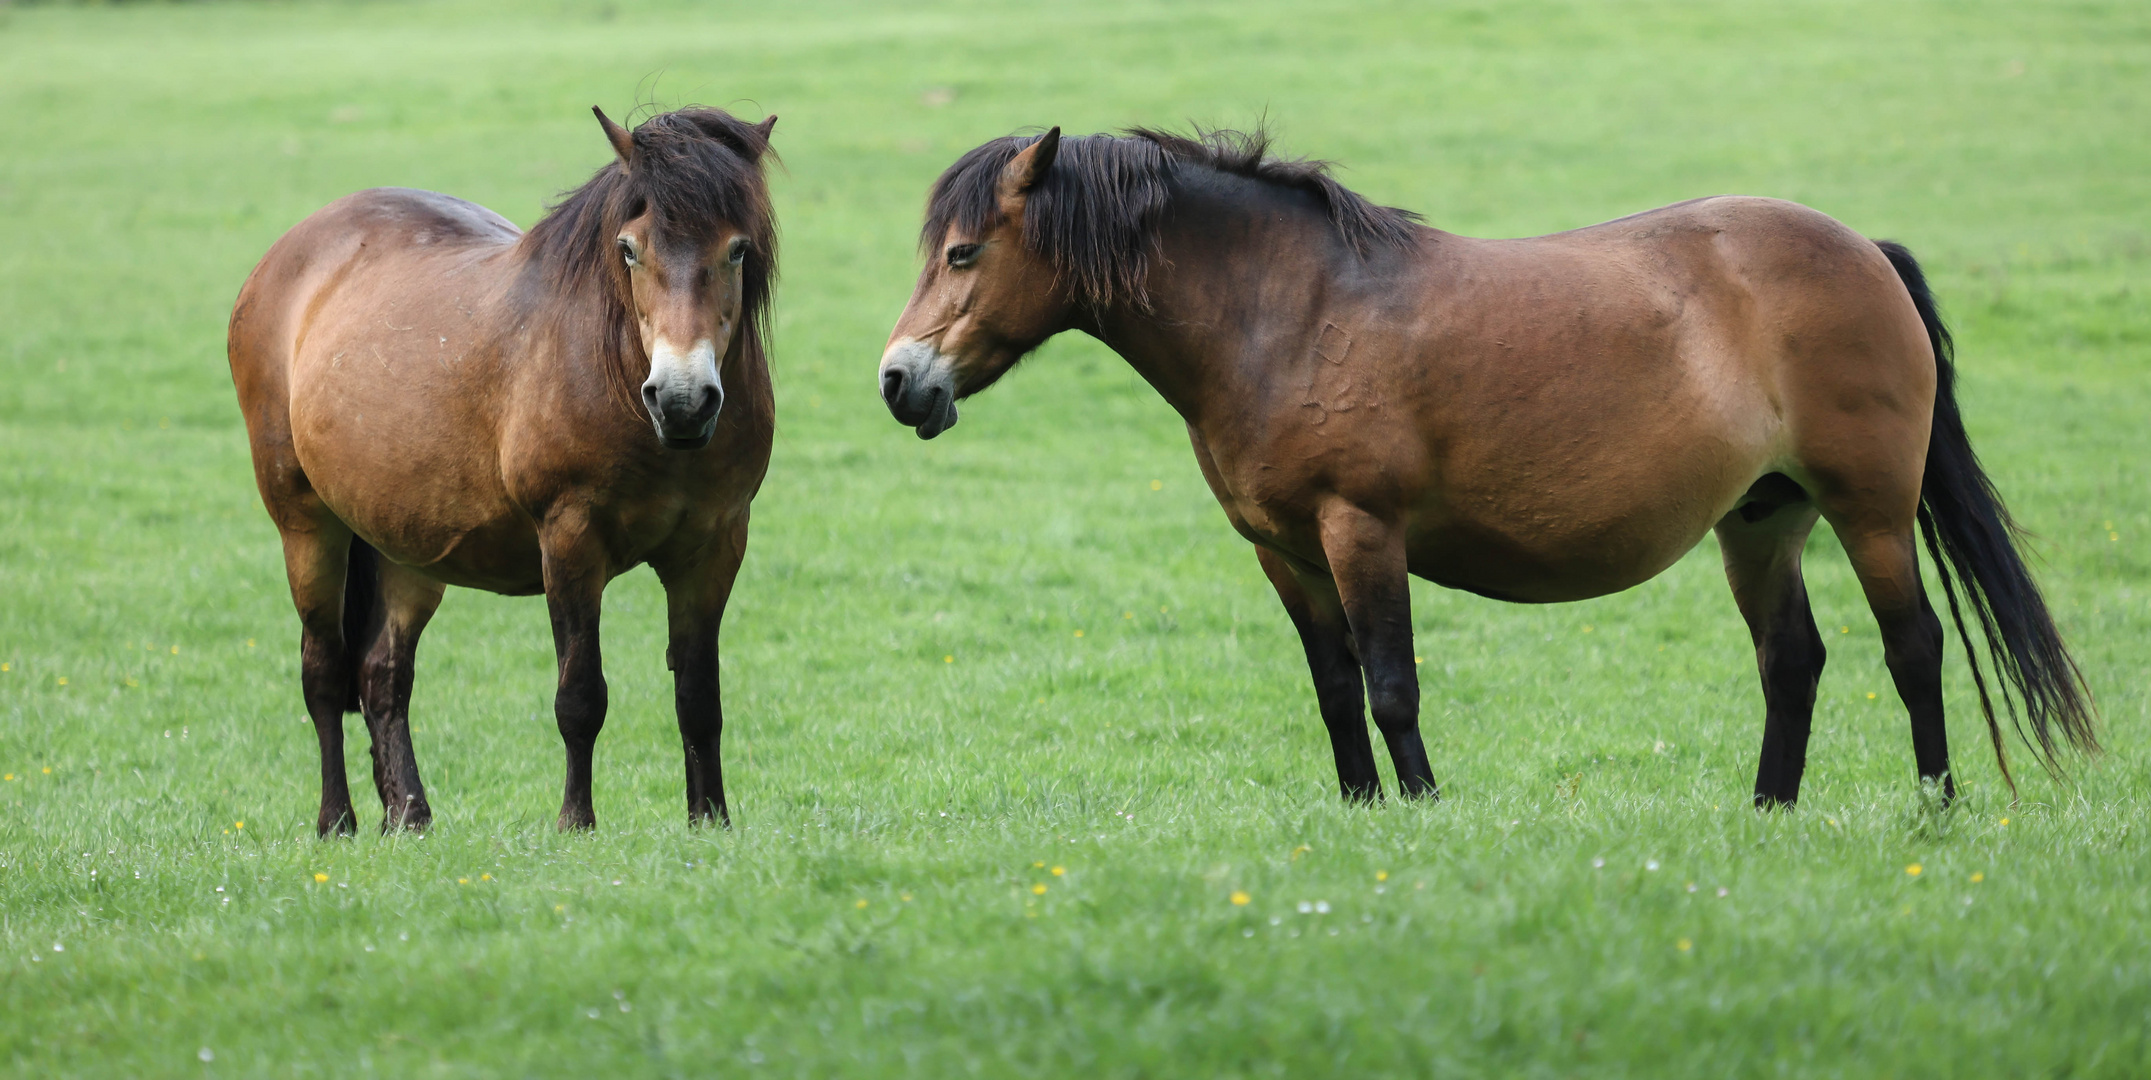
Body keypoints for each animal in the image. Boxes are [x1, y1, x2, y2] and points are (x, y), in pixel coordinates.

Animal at [231, 107, 782, 834]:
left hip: (407, 548)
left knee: (383, 673)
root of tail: (282, 259)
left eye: (738, 250)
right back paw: (337, 821)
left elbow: (698, 697)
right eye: (630, 250)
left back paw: (408, 814)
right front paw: (576, 822)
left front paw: (710, 821)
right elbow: (580, 697)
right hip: (306, 525)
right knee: (322, 672)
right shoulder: (569, 541)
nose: (682, 398)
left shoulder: (713, 547)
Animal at [877, 128, 2099, 800]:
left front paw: (1419, 812)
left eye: (964, 252)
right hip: (1760, 522)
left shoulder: (1360, 532)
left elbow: (1391, 687)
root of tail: (1863, 251)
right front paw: (1362, 817)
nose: (899, 380)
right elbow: (1334, 694)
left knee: (1913, 646)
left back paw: (1935, 807)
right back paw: (1768, 814)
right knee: (1792, 662)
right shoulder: (1287, 556)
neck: (1288, 311)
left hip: (1870, 512)